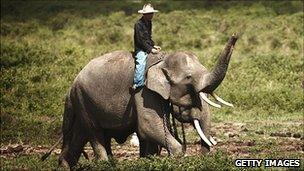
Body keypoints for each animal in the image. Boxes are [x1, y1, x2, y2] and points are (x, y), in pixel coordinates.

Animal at [57, 33, 238, 168]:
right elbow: (148, 125)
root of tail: (71, 87)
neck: (162, 61)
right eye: (188, 78)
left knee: (79, 135)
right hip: (83, 99)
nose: (235, 35)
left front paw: (149, 161)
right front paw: (176, 158)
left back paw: (65, 164)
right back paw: (104, 164)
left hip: (83, 102)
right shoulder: (143, 91)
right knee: (94, 133)